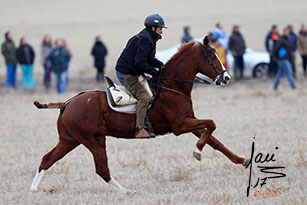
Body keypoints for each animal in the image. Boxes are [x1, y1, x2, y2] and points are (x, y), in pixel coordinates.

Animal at [30, 35, 249, 195]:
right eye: (211, 55)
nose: (227, 78)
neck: (172, 86)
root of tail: (67, 103)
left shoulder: (190, 122)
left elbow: (215, 141)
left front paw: (242, 160)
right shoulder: (180, 126)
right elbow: (211, 124)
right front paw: (197, 152)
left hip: (70, 140)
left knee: (47, 159)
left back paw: (33, 189)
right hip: (94, 140)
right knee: (102, 169)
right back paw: (127, 191)